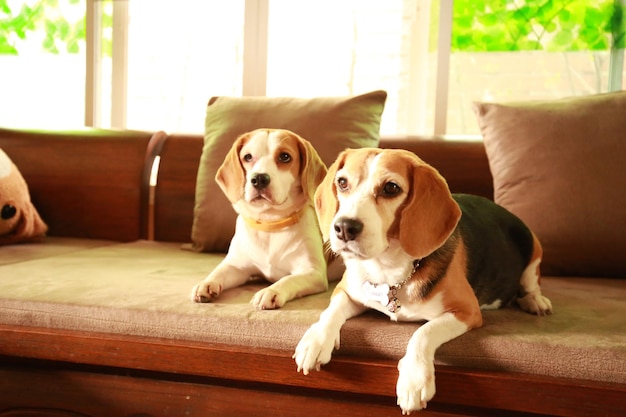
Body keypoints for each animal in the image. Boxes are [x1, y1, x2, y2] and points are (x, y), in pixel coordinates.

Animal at [189, 129, 332, 308]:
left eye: (285, 157)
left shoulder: (313, 272)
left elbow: (288, 280)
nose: (259, 179)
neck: (270, 223)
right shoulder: (235, 266)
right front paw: (207, 283)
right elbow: (218, 272)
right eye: (248, 157)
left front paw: (271, 291)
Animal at [292, 148, 552, 412]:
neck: (389, 269)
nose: (344, 227)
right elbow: (330, 310)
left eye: (391, 188)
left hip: (533, 246)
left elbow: (424, 332)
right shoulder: (347, 290)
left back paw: (535, 301)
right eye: (342, 183)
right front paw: (315, 340)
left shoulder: (467, 311)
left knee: (531, 282)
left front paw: (414, 379)